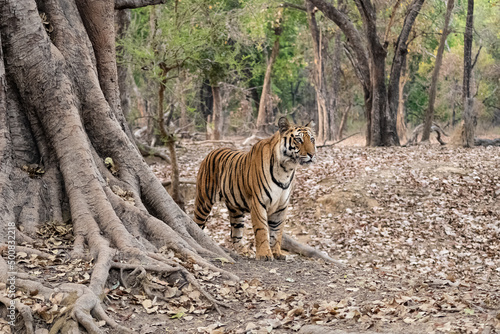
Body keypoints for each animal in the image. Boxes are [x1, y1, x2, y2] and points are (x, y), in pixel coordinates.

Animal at [194, 117, 316, 260]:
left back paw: (244, 251)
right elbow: (262, 229)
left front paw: (277, 252)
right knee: (196, 222)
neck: (286, 169)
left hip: (235, 210)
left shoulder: (281, 206)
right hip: (204, 202)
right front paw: (264, 254)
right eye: (299, 140)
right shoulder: (259, 202)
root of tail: (211, 151)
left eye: (312, 139)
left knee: (235, 234)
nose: (312, 155)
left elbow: (277, 231)